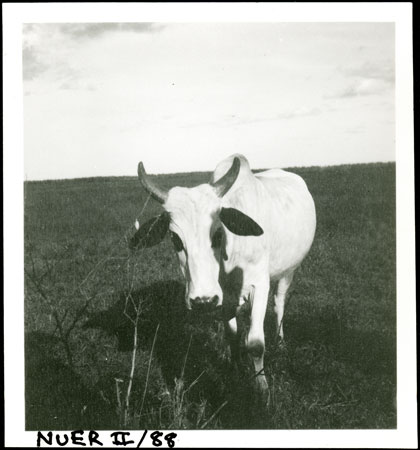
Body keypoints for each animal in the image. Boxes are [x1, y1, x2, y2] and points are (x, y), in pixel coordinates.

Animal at [133, 155, 316, 400]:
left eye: (218, 233)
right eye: (174, 238)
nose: (203, 301)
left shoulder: (260, 285)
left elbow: (255, 343)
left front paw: (261, 388)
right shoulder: (225, 298)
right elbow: (233, 335)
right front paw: (235, 369)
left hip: (289, 270)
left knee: (279, 303)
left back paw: (280, 341)